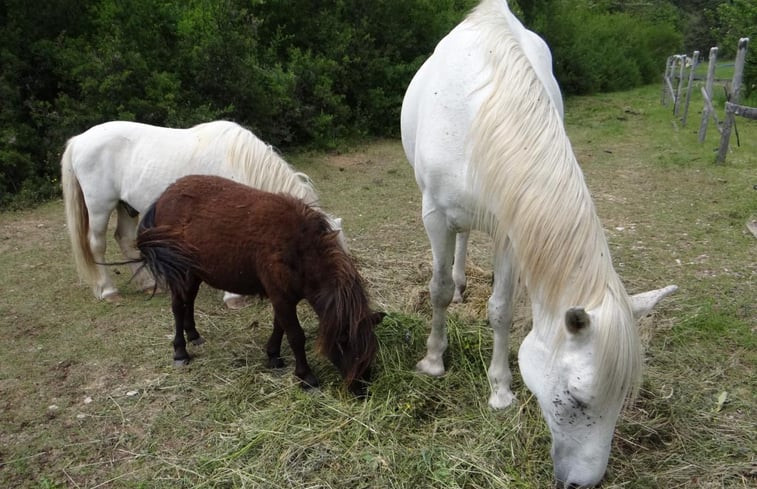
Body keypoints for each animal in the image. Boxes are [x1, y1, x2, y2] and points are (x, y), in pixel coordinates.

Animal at [59, 120, 342, 304]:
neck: (239, 163)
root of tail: (79, 140)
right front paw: (233, 296)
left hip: (125, 206)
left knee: (125, 240)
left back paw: (148, 285)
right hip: (99, 207)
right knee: (97, 245)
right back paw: (108, 291)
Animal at [135, 173, 380, 394]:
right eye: (344, 344)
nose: (361, 389)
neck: (300, 249)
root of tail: (163, 196)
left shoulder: (282, 296)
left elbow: (279, 326)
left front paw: (273, 355)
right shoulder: (281, 297)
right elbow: (295, 335)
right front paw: (306, 376)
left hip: (193, 272)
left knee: (189, 301)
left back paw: (193, 335)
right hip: (179, 271)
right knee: (178, 306)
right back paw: (180, 351)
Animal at [398, 1, 676, 486]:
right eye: (578, 398)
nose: (583, 482)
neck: (480, 120)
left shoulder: (512, 232)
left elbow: (501, 310)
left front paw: (500, 390)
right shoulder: (434, 215)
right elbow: (437, 291)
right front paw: (432, 361)